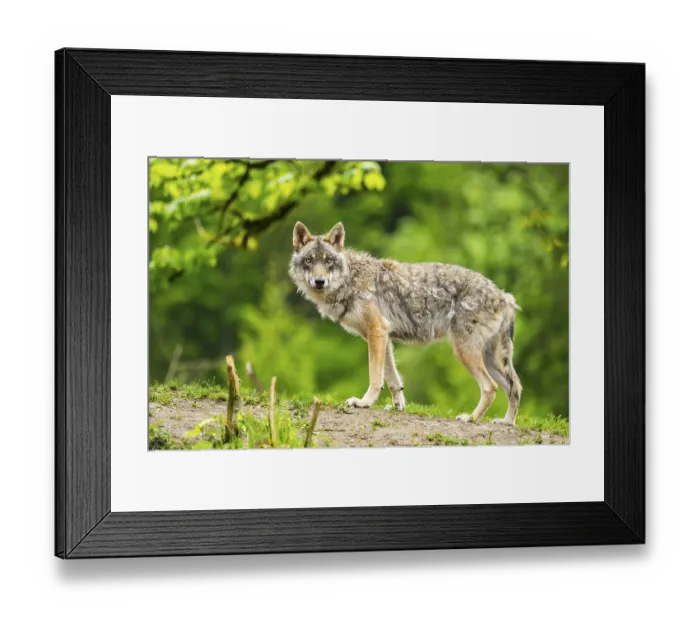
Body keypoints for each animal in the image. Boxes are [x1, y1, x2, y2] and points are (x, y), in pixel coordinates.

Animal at [289, 222, 523, 425]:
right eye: (309, 260)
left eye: (328, 261)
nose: (319, 281)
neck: (350, 280)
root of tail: (504, 296)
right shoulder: (383, 338)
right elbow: (393, 380)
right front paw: (397, 407)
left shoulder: (377, 332)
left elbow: (375, 377)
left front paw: (364, 403)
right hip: (488, 358)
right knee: (515, 387)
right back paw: (507, 423)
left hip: (465, 352)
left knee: (491, 387)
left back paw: (471, 418)